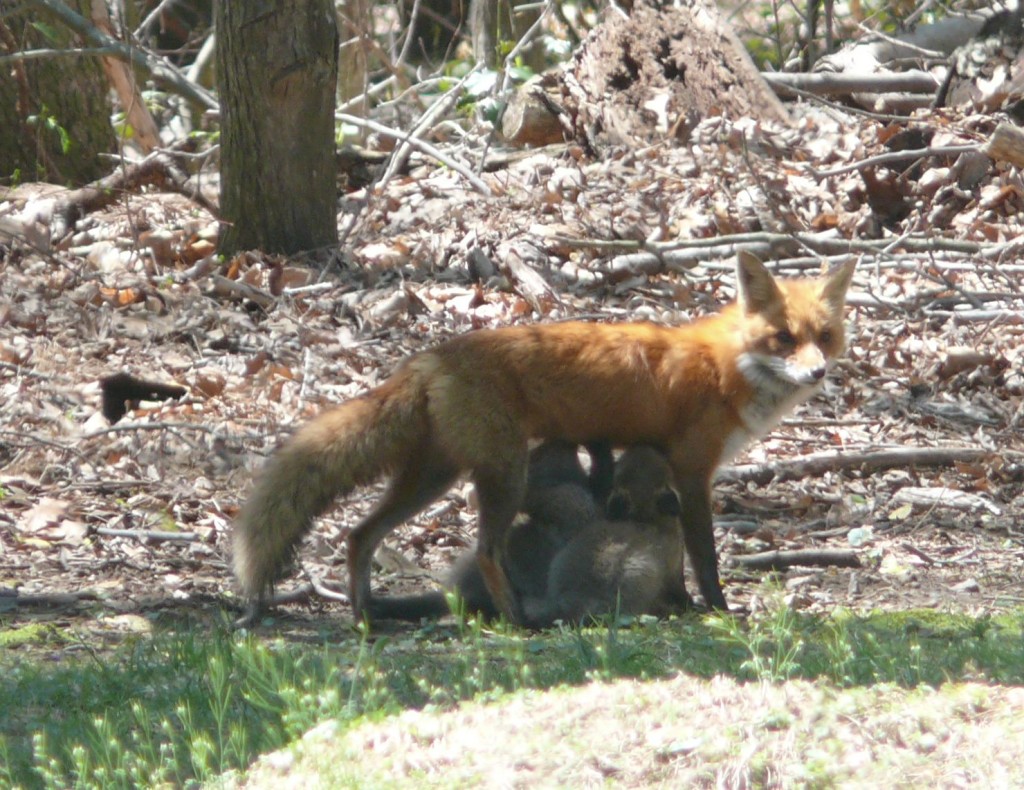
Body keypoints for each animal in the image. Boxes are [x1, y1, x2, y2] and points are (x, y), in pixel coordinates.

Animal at [234, 253, 856, 622]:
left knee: (360, 535)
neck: (727, 367)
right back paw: (514, 620)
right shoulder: (692, 473)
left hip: (434, 477)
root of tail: (432, 357)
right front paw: (718, 609)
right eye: (783, 338)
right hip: (502, 475)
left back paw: (368, 615)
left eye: (823, 337)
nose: (817, 372)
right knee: (485, 549)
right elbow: (703, 556)